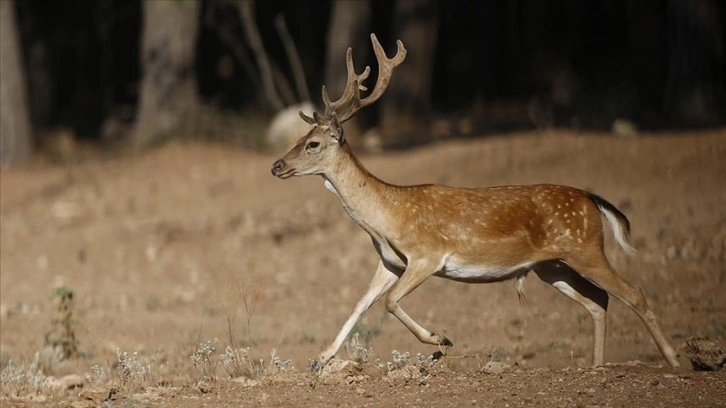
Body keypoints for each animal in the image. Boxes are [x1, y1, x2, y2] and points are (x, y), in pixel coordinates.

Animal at [272, 33, 684, 370]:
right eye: (301, 138)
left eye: (313, 143)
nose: (277, 165)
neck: (387, 217)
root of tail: (592, 199)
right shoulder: (389, 262)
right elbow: (361, 303)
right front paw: (319, 359)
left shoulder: (428, 255)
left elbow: (389, 302)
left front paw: (441, 339)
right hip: (551, 266)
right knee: (598, 300)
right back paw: (597, 367)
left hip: (585, 248)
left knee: (633, 292)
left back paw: (675, 360)